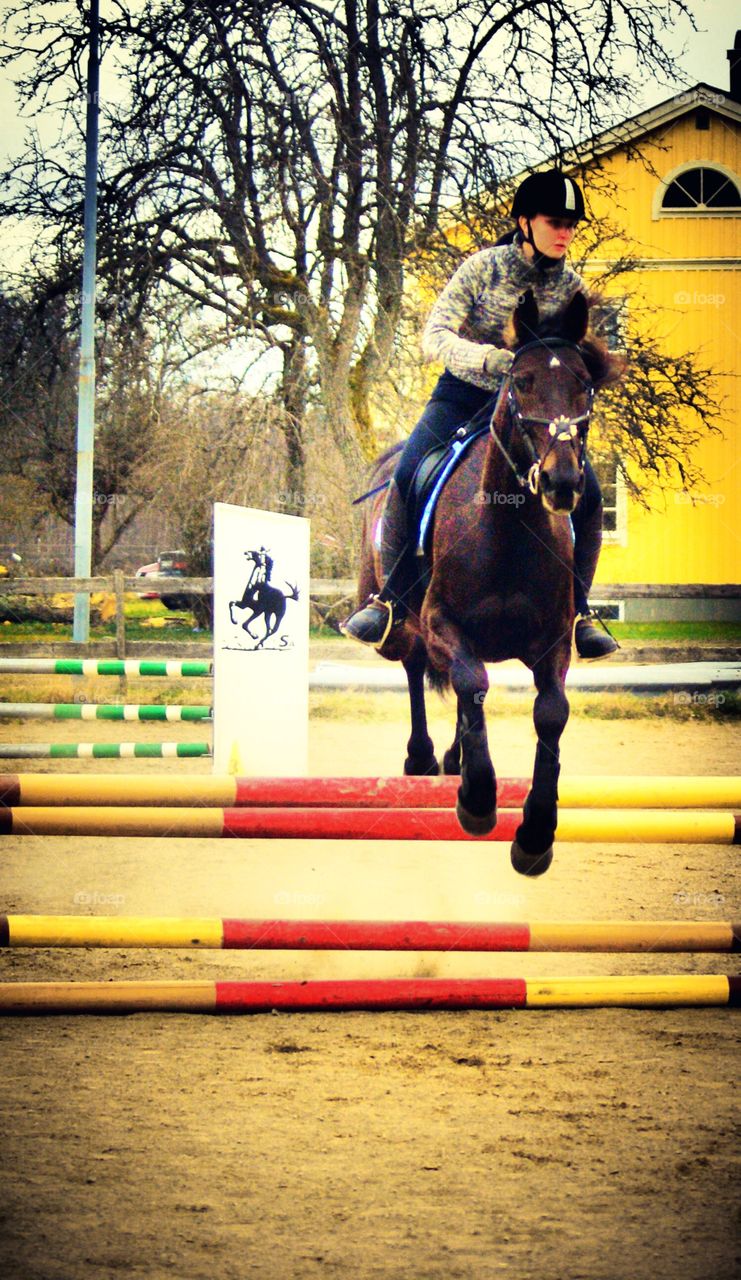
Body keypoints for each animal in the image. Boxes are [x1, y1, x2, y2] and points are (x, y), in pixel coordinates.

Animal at [355, 288, 624, 880]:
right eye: (520, 380)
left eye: (584, 383)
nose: (562, 480)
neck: (505, 528)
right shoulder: (442, 625)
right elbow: (469, 681)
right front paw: (478, 801)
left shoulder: (552, 641)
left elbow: (550, 713)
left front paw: (535, 834)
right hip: (401, 622)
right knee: (418, 670)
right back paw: (423, 756)